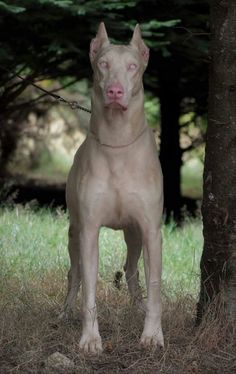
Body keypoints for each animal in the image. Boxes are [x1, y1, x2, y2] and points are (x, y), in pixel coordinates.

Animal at [61, 21, 163, 356]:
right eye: (103, 64)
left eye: (132, 66)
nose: (115, 91)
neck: (118, 143)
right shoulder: (89, 229)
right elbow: (89, 288)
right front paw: (90, 339)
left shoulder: (151, 229)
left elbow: (154, 283)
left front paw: (152, 335)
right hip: (74, 232)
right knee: (75, 273)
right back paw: (66, 310)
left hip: (134, 232)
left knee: (132, 269)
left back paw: (137, 307)